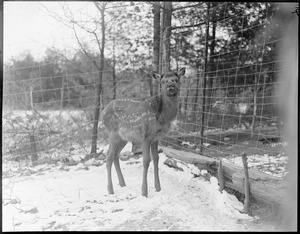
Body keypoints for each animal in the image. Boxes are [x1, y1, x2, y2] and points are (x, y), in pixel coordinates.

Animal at [101, 66, 185, 197]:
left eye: (176, 79)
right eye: (163, 81)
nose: (170, 85)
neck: (163, 116)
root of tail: (103, 112)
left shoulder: (156, 138)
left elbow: (156, 159)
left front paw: (158, 188)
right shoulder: (146, 136)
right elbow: (146, 161)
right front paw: (144, 192)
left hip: (123, 138)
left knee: (115, 155)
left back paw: (122, 183)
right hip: (113, 132)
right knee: (108, 156)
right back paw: (110, 190)